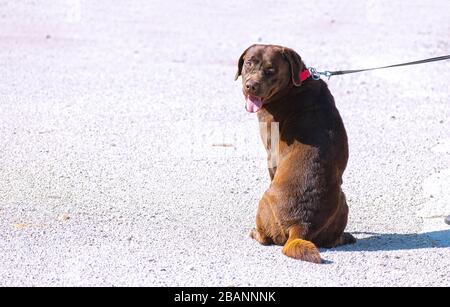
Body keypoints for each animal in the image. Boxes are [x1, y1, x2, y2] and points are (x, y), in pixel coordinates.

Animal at [236, 44, 356, 264]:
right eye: (249, 63)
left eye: (271, 70)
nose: (250, 86)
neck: (292, 88)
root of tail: (300, 225)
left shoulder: (271, 156)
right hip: (343, 202)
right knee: (330, 239)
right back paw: (345, 237)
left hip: (264, 202)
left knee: (265, 239)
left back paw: (255, 233)